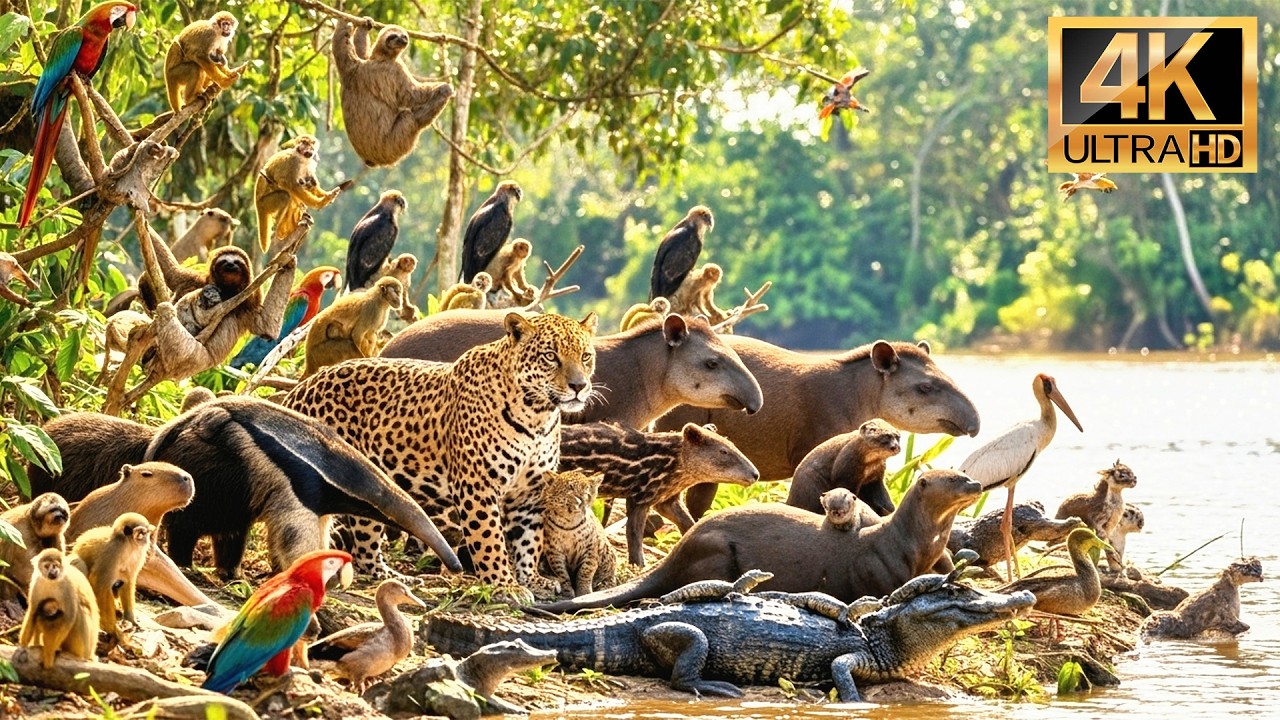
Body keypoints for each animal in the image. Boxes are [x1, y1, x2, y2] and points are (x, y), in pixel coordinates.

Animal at [70, 512, 153, 643]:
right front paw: (112, 629)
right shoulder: (112, 552)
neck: (127, 545)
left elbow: (128, 581)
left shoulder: (139, 553)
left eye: (146, 534)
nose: (147, 540)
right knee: (80, 564)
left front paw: (130, 619)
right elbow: (100, 586)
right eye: (142, 533)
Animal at [332, 18, 454, 167]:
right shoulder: (395, 69)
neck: (382, 58)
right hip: (394, 144)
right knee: (409, 117)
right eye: (393, 36)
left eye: (404, 36)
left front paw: (365, 25)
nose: (402, 40)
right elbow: (412, 93)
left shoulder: (352, 69)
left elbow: (347, 51)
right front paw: (444, 88)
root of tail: (372, 160)